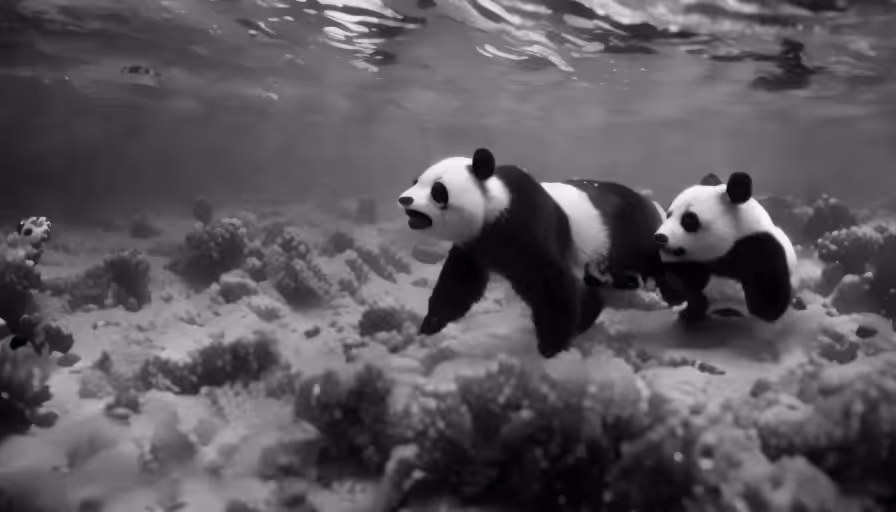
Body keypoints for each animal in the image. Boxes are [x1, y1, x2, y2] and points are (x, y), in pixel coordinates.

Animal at [397, 147, 679, 358]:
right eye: (415, 181)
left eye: (437, 190)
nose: (404, 199)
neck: (496, 204)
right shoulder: (477, 244)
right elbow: (460, 283)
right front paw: (431, 324)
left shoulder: (529, 223)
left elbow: (550, 282)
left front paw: (550, 346)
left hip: (630, 233)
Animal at [654, 172, 798, 324]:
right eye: (668, 215)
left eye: (689, 220)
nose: (660, 237)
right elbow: (688, 284)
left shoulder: (761, 246)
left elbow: (768, 297)